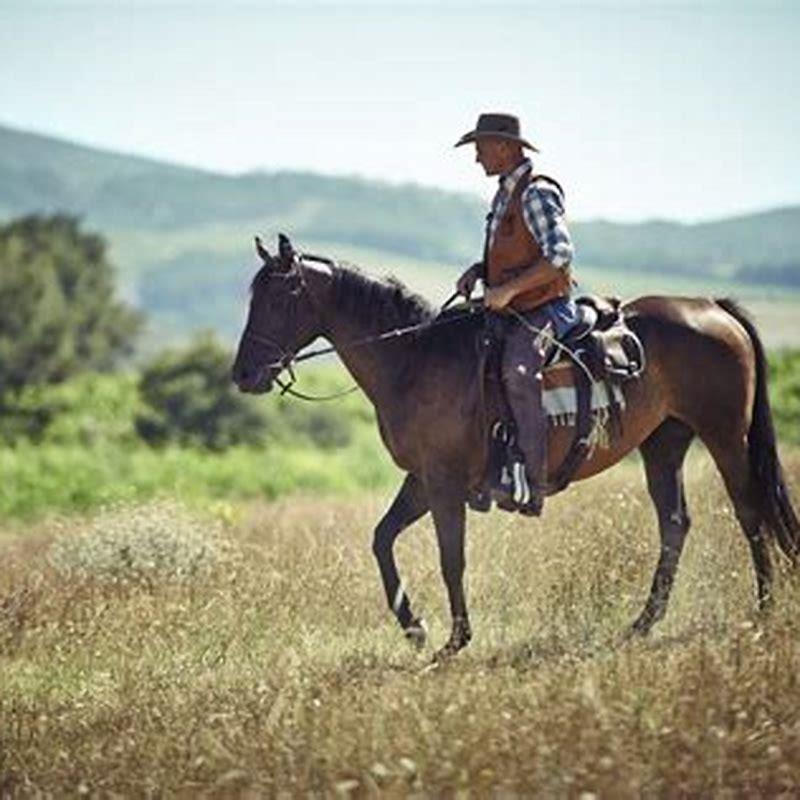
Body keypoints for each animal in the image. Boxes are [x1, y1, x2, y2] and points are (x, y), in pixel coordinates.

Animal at [232, 234, 799, 661]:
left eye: (278, 298)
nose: (242, 374)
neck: (415, 359)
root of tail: (712, 307)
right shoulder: (423, 479)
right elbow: (382, 539)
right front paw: (415, 628)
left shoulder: (444, 484)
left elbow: (451, 558)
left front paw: (455, 641)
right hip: (665, 443)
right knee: (675, 523)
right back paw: (642, 623)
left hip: (724, 435)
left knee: (750, 511)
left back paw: (764, 609)